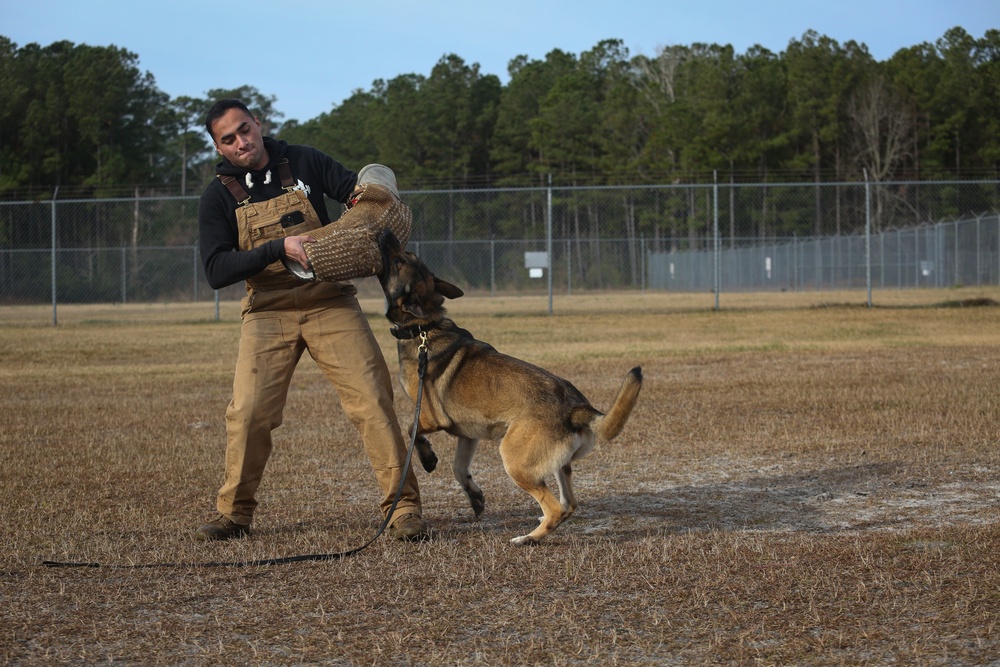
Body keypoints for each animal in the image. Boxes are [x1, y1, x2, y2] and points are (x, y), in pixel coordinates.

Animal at [376, 232, 640, 544]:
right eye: (407, 256)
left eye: (399, 261)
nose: (385, 235)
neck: (424, 327)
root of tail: (576, 407)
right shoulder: (468, 434)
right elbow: (459, 467)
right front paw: (474, 496)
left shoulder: (430, 417)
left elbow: (411, 431)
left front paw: (428, 459)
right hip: (559, 465)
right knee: (569, 505)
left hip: (514, 461)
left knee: (555, 509)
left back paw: (527, 539)